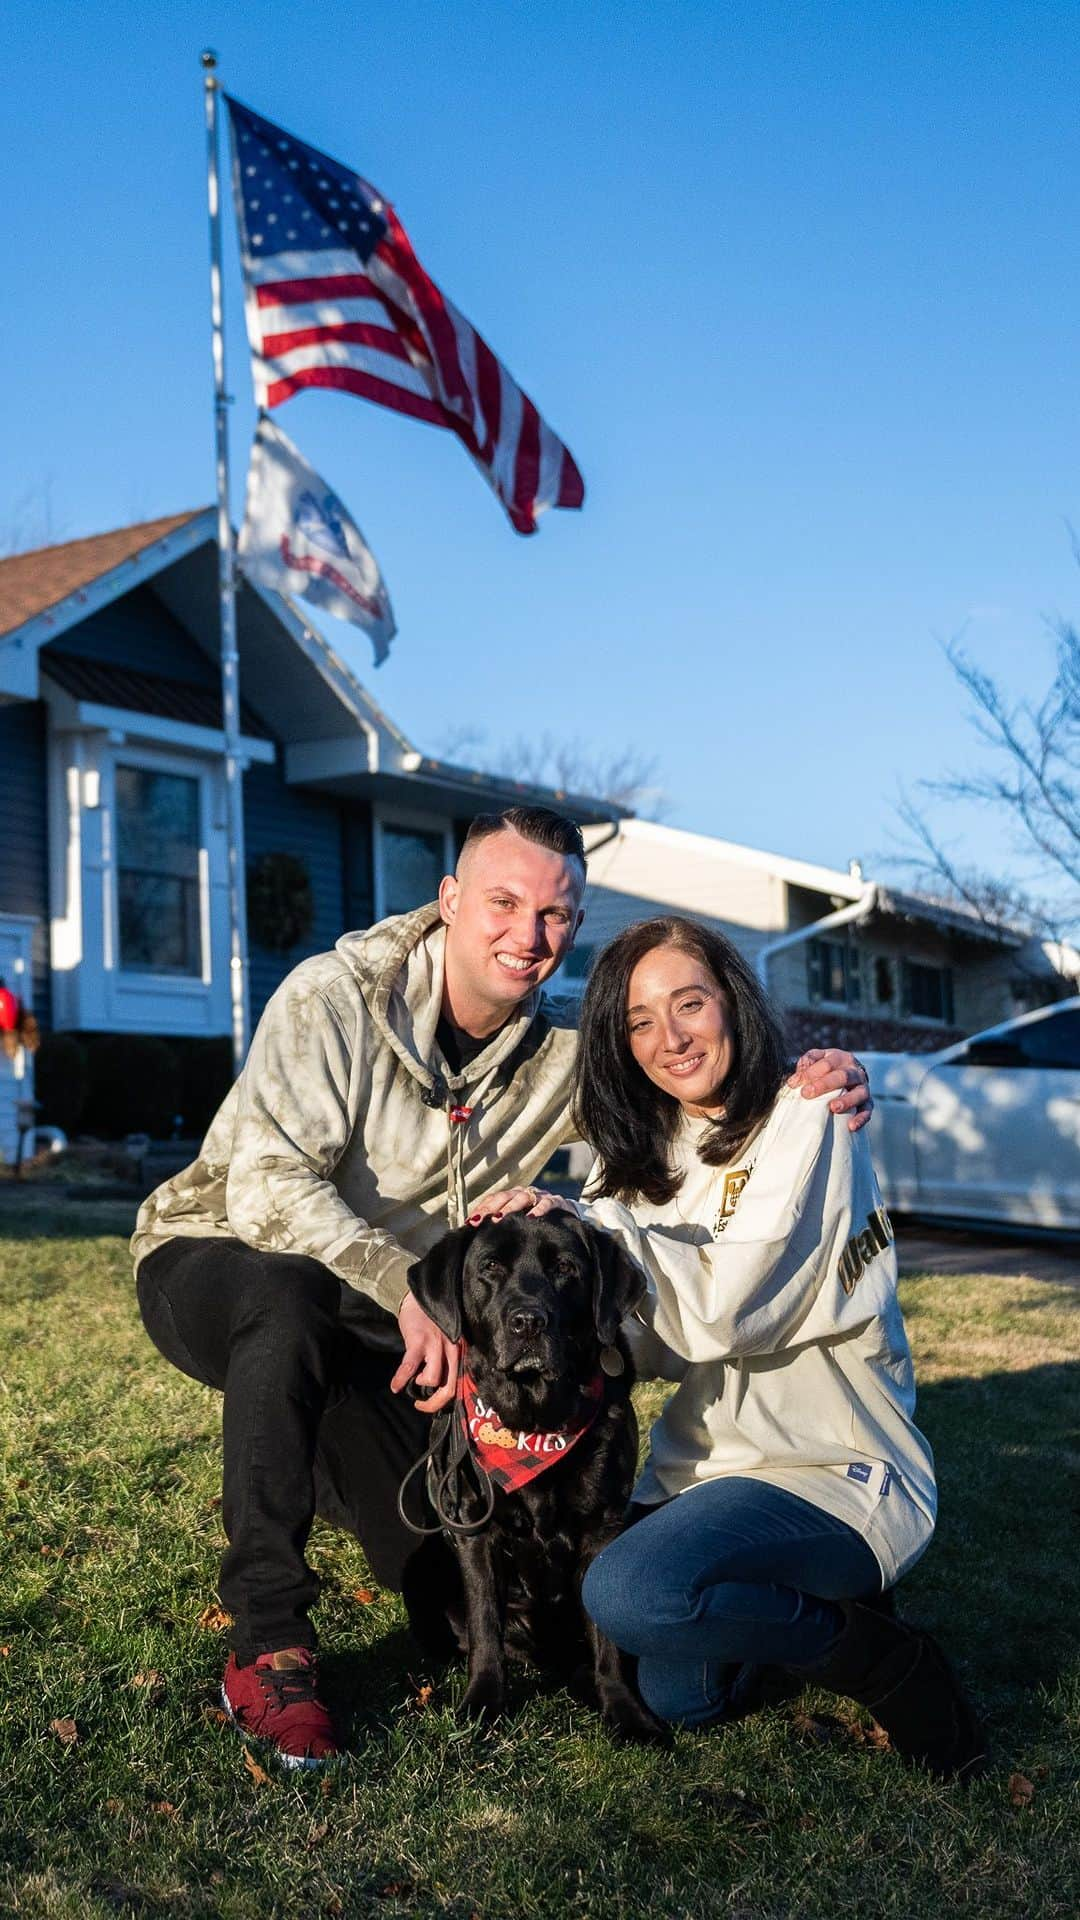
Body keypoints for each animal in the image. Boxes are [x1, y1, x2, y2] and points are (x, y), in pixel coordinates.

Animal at [399, 1213, 661, 1743]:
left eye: (565, 1268)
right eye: (489, 1268)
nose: (528, 1322)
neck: (534, 1425)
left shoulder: (603, 1528)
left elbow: (606, 1637)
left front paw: (624, 1710)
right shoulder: (474, 1531)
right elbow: (485, 1625)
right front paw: (483, 1703)